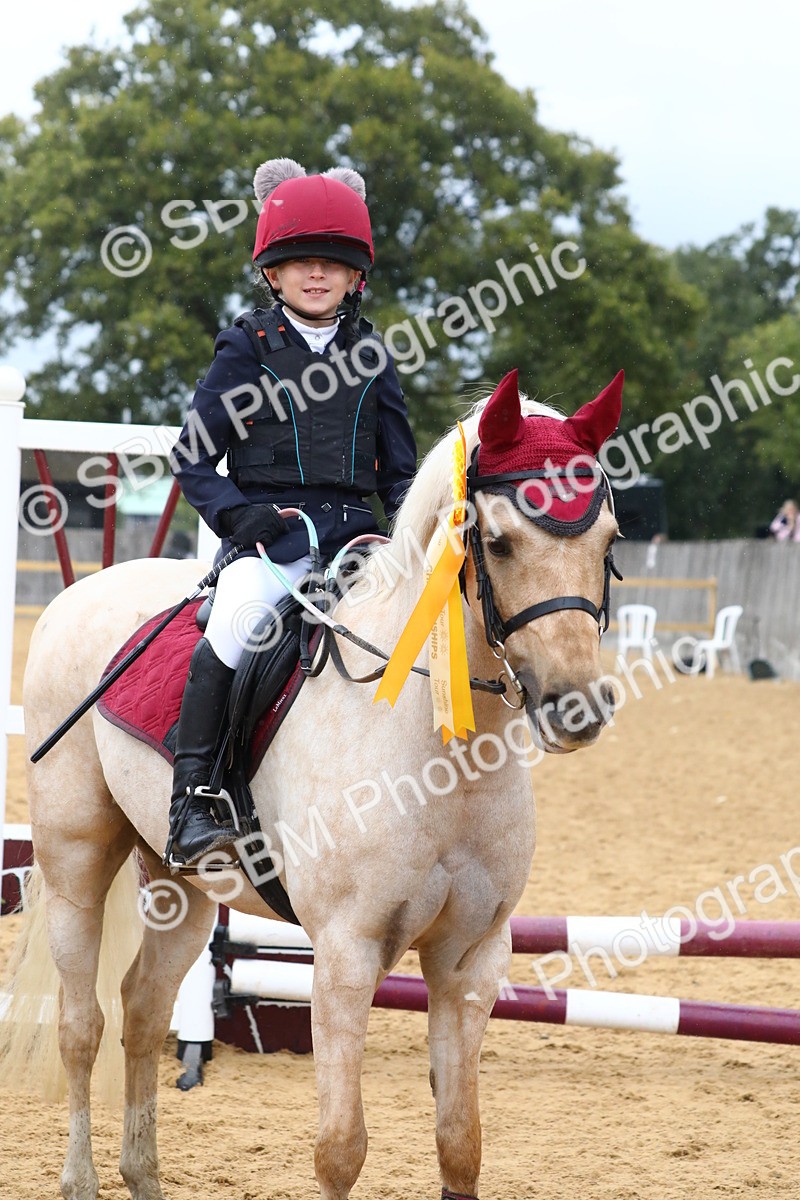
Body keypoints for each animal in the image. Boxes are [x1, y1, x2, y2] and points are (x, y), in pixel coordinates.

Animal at [2, 368, 622, 1200]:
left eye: (609, 541)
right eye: (497, 541)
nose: (575, 707)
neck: (441, 757)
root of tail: (83, 592)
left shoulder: (471, 959)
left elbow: (460, 1144)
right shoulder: (346, 952)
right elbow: (340, 1149)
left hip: (181, 884)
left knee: (142, 1011)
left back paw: (143, 1173)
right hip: (77, 860)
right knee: (82, 1024)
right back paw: (81, 1179)